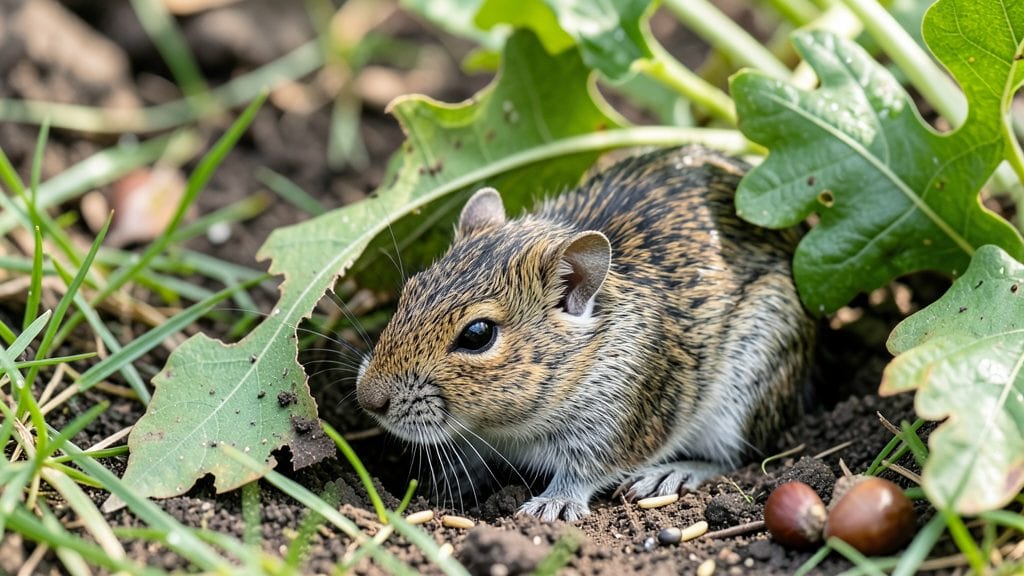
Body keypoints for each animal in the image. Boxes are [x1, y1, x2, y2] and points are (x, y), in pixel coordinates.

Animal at [355, 146, 816, 521]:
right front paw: (458, 476)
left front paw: (552, 503)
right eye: (410, 291)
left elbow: (585, 469)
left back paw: (672, 472)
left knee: (734, 456)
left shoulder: (620, 414)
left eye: (478, 334)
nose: (368, 399)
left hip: (748, 386)